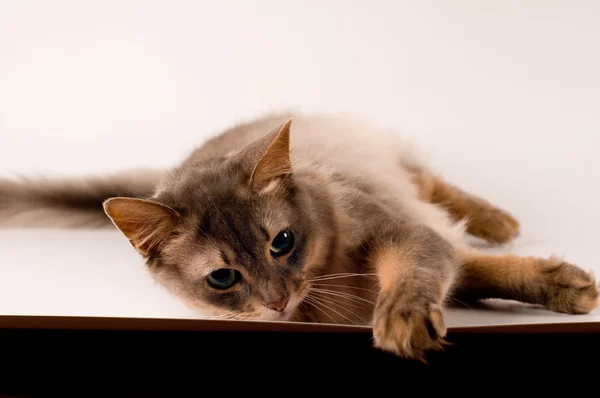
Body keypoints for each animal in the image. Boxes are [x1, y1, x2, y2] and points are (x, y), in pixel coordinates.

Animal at [0, 111, 596, 360]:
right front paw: (563, 282)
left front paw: (401, 318)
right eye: (223, 278)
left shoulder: (408, 233)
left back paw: (497, 220)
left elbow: (435, 269)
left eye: (281, 243)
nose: (277, 301)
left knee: (428, 180)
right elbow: (475, 274)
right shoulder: (440, 250)